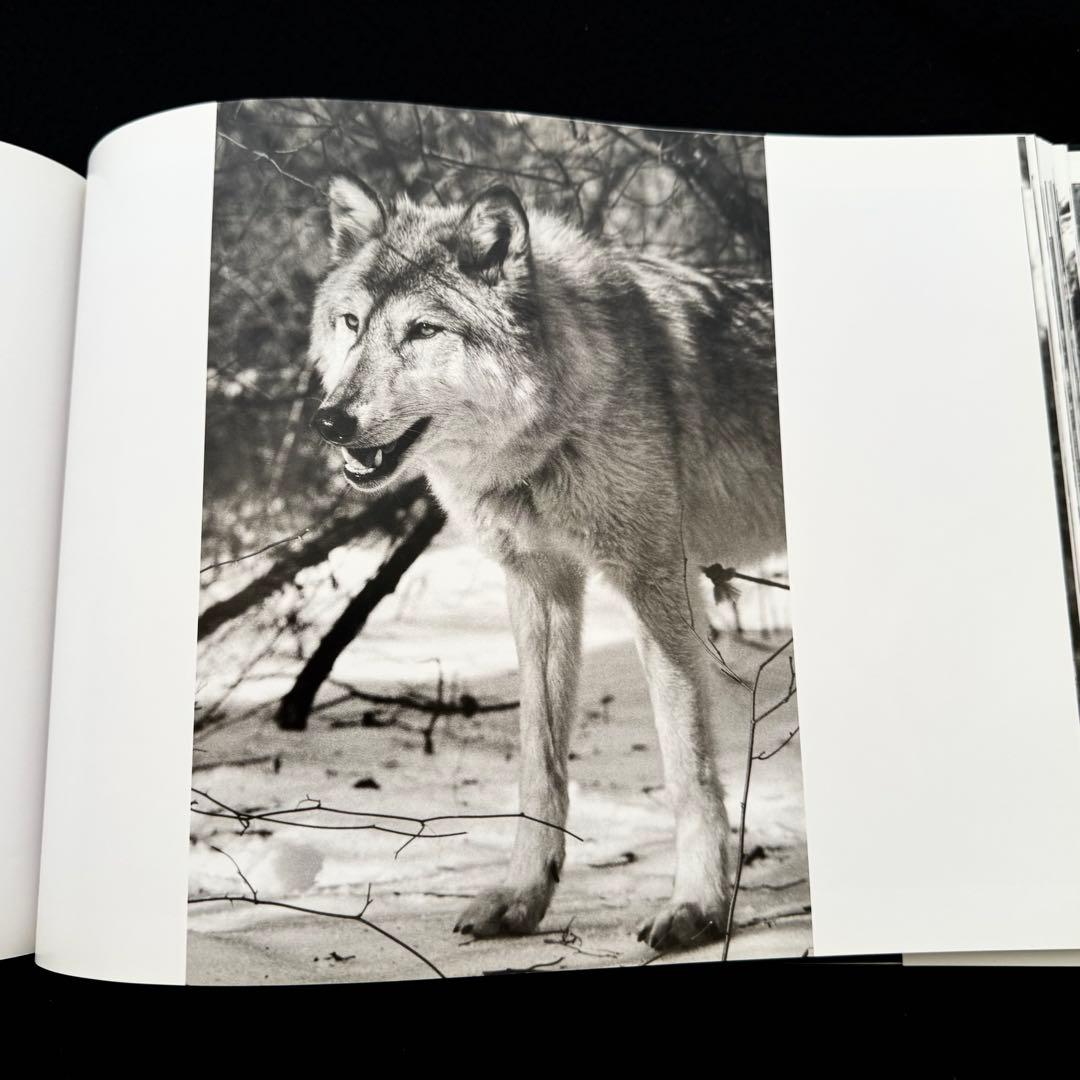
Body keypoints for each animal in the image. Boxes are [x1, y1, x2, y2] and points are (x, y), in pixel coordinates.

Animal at [308, 175, 786, 949]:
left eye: (423, 331)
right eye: (350, 323)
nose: (329, 419)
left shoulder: (659, 584)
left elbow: (687, 767)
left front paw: (698, 907)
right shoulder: (539, 584)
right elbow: (540, 761)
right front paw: (523, 896)